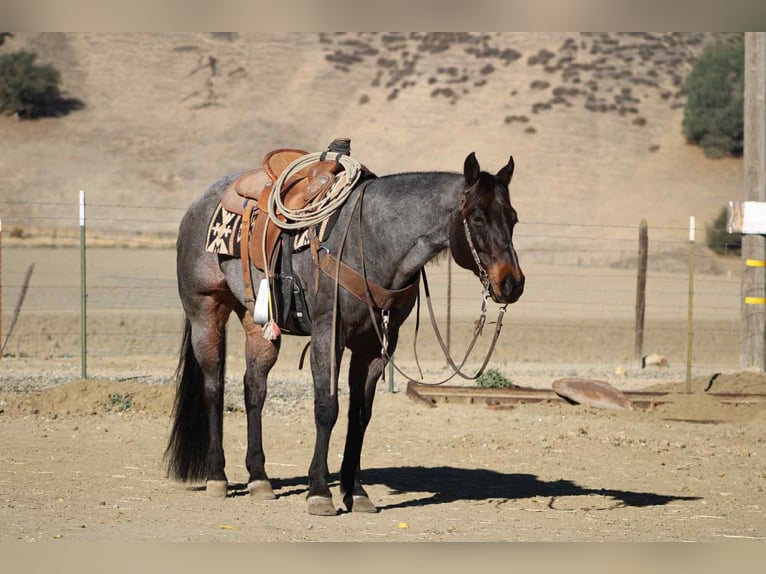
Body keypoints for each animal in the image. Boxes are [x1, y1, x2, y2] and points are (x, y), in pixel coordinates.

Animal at [165, 148, 525, 516]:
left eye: (512, 218)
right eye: (478, 218)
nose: (512, 283)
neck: (372, 239)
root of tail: (198, 204)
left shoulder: (376, 345)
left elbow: (360, 414)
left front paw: (357, 492)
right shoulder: (328, 333)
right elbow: (327, 407)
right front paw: (320, 492)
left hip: (256, 322)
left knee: (254, 388)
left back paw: (259, 479)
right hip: (206, 311)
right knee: (213, 387)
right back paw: (217, 477)